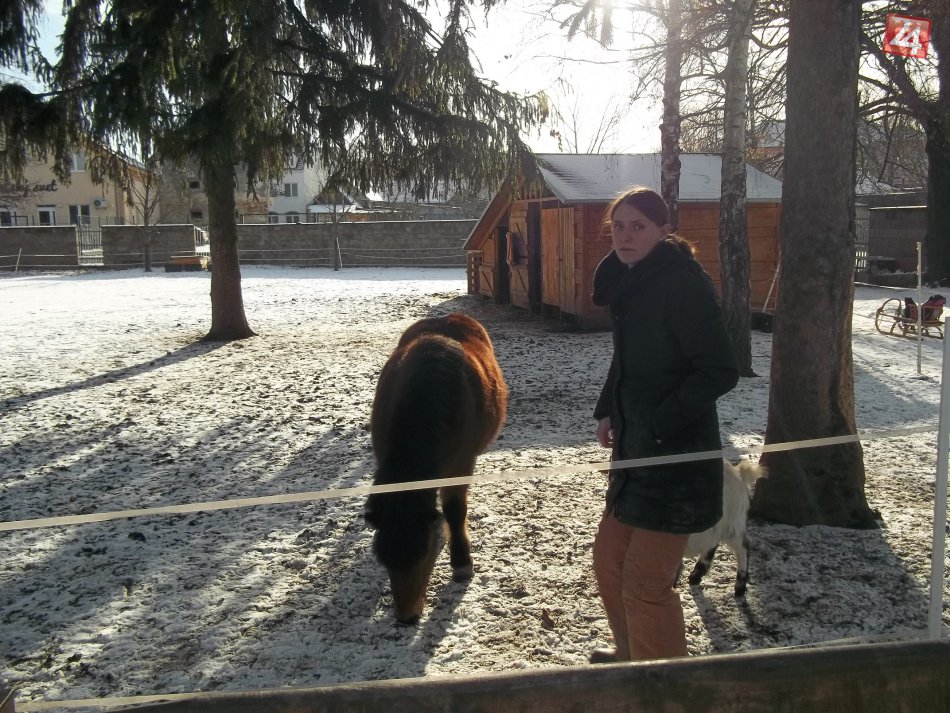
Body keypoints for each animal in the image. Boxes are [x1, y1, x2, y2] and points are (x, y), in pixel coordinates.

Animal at [365, 313, 508, 625]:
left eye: (422, 554)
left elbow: (454, 511)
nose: (406, 617)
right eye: (384, 558)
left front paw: (462, 564)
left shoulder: (462, 462)